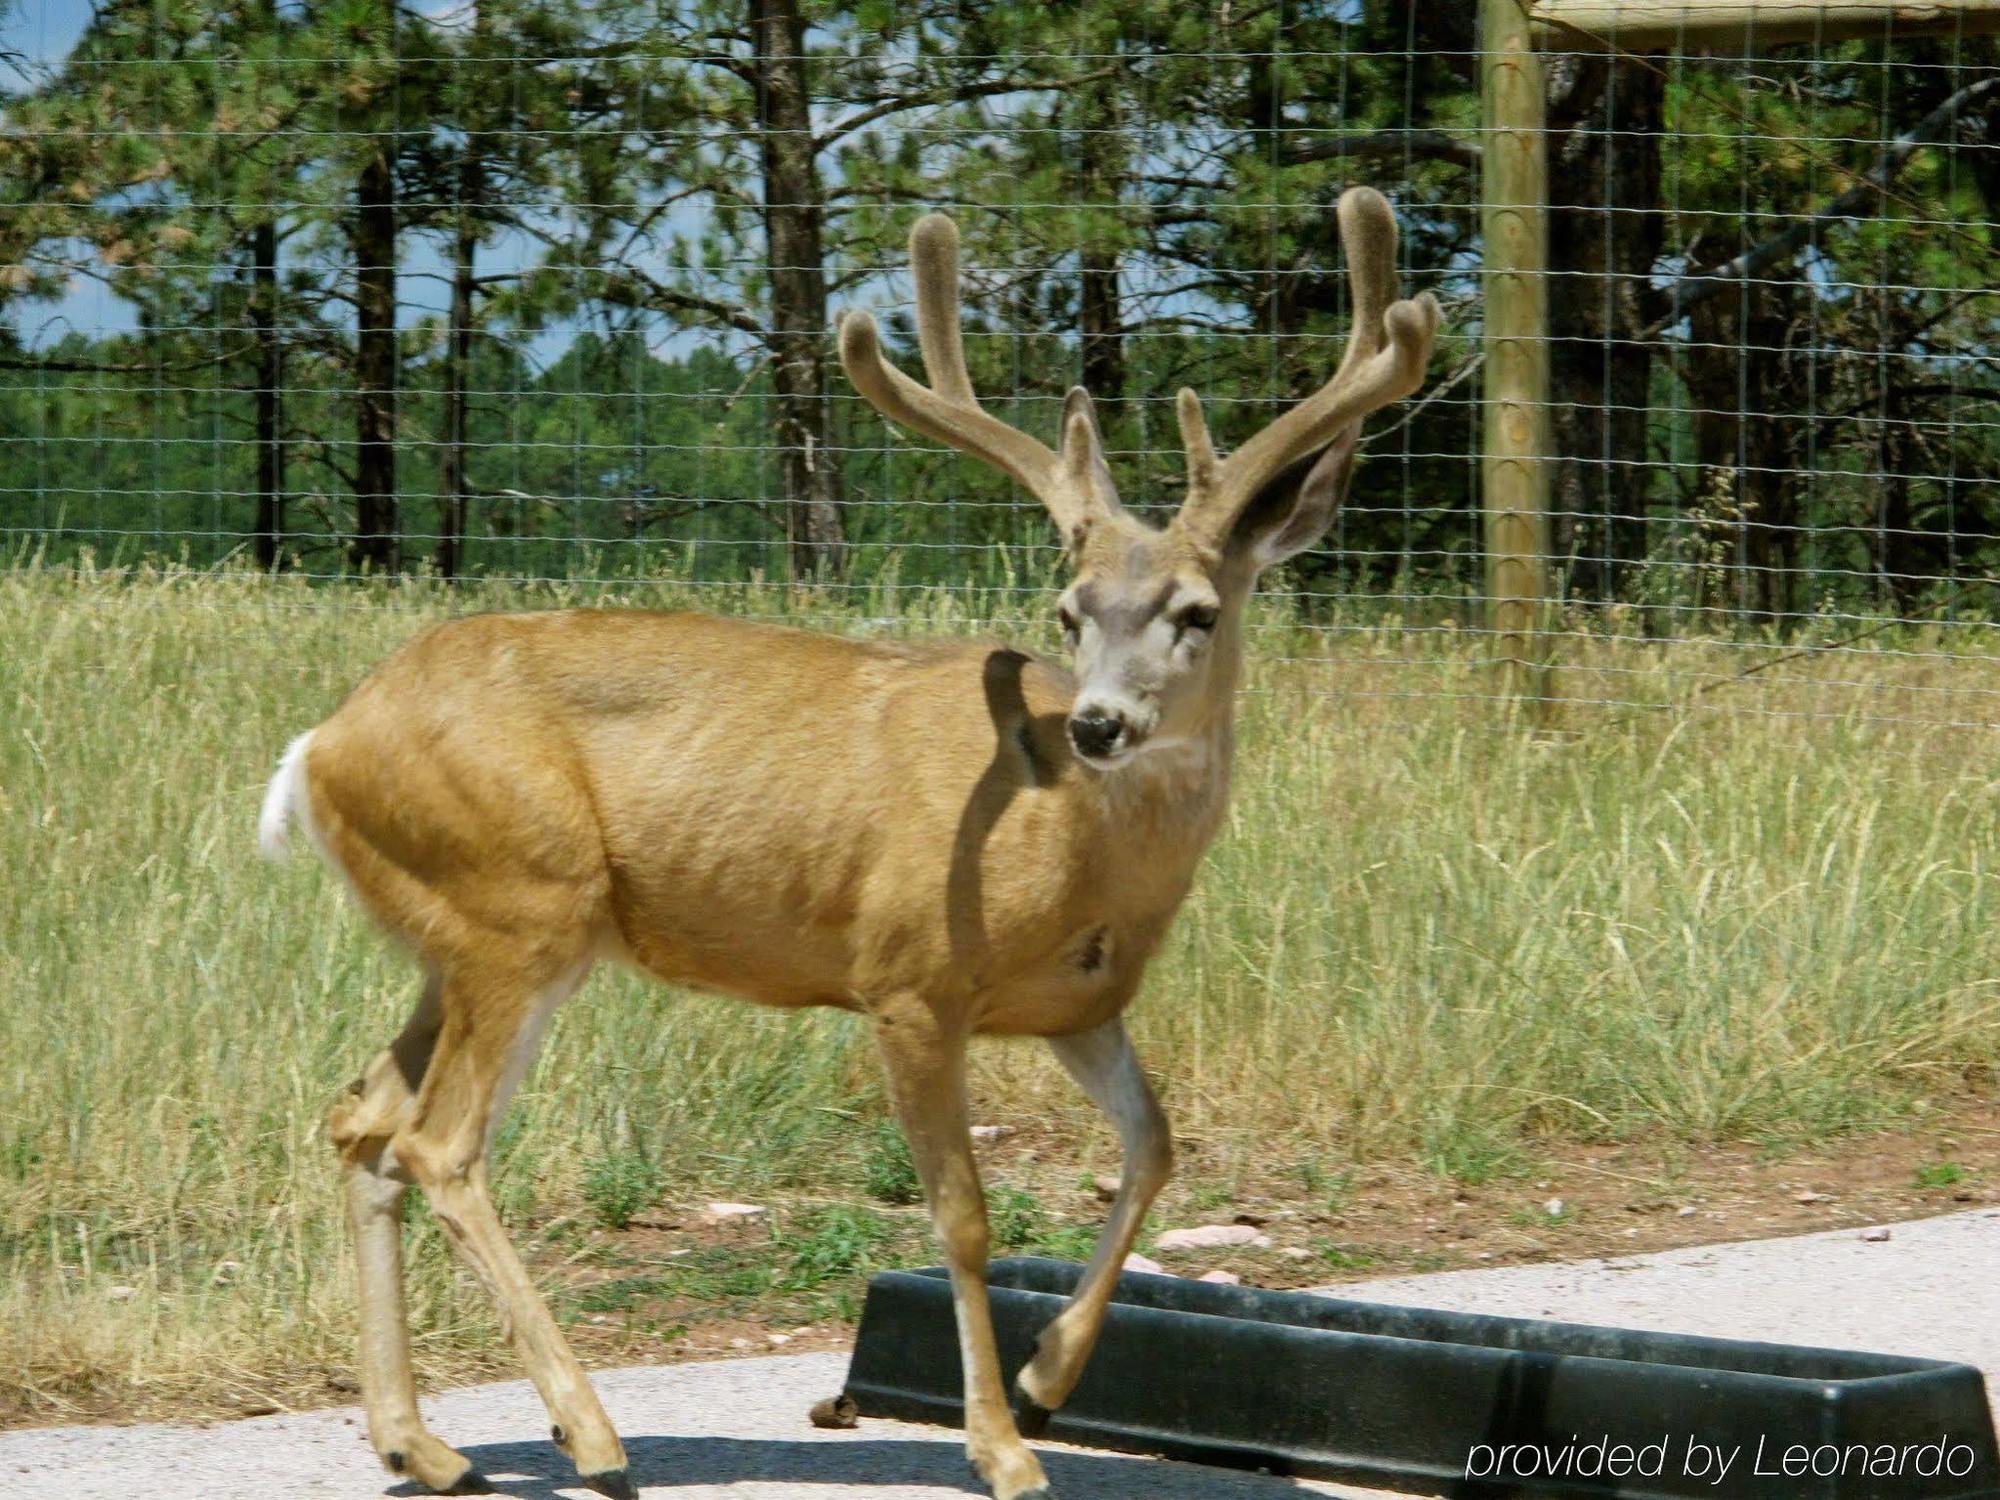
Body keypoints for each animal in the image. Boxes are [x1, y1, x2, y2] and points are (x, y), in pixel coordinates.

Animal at [262, 188, 1440, 1500]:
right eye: (1069, 612)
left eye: (1196, 611)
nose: (1096, 723)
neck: (1075, 850)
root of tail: (322, 743)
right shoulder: (910, 979)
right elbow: (965, 1212)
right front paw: (1001, 1446)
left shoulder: (1077, 1001)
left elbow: (1154, 1145)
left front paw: (1048, 1374)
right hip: (521, 908)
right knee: (439, 1145)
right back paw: (590, 1434)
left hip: (449, 937)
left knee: (361, 1124)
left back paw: (425, 1443)